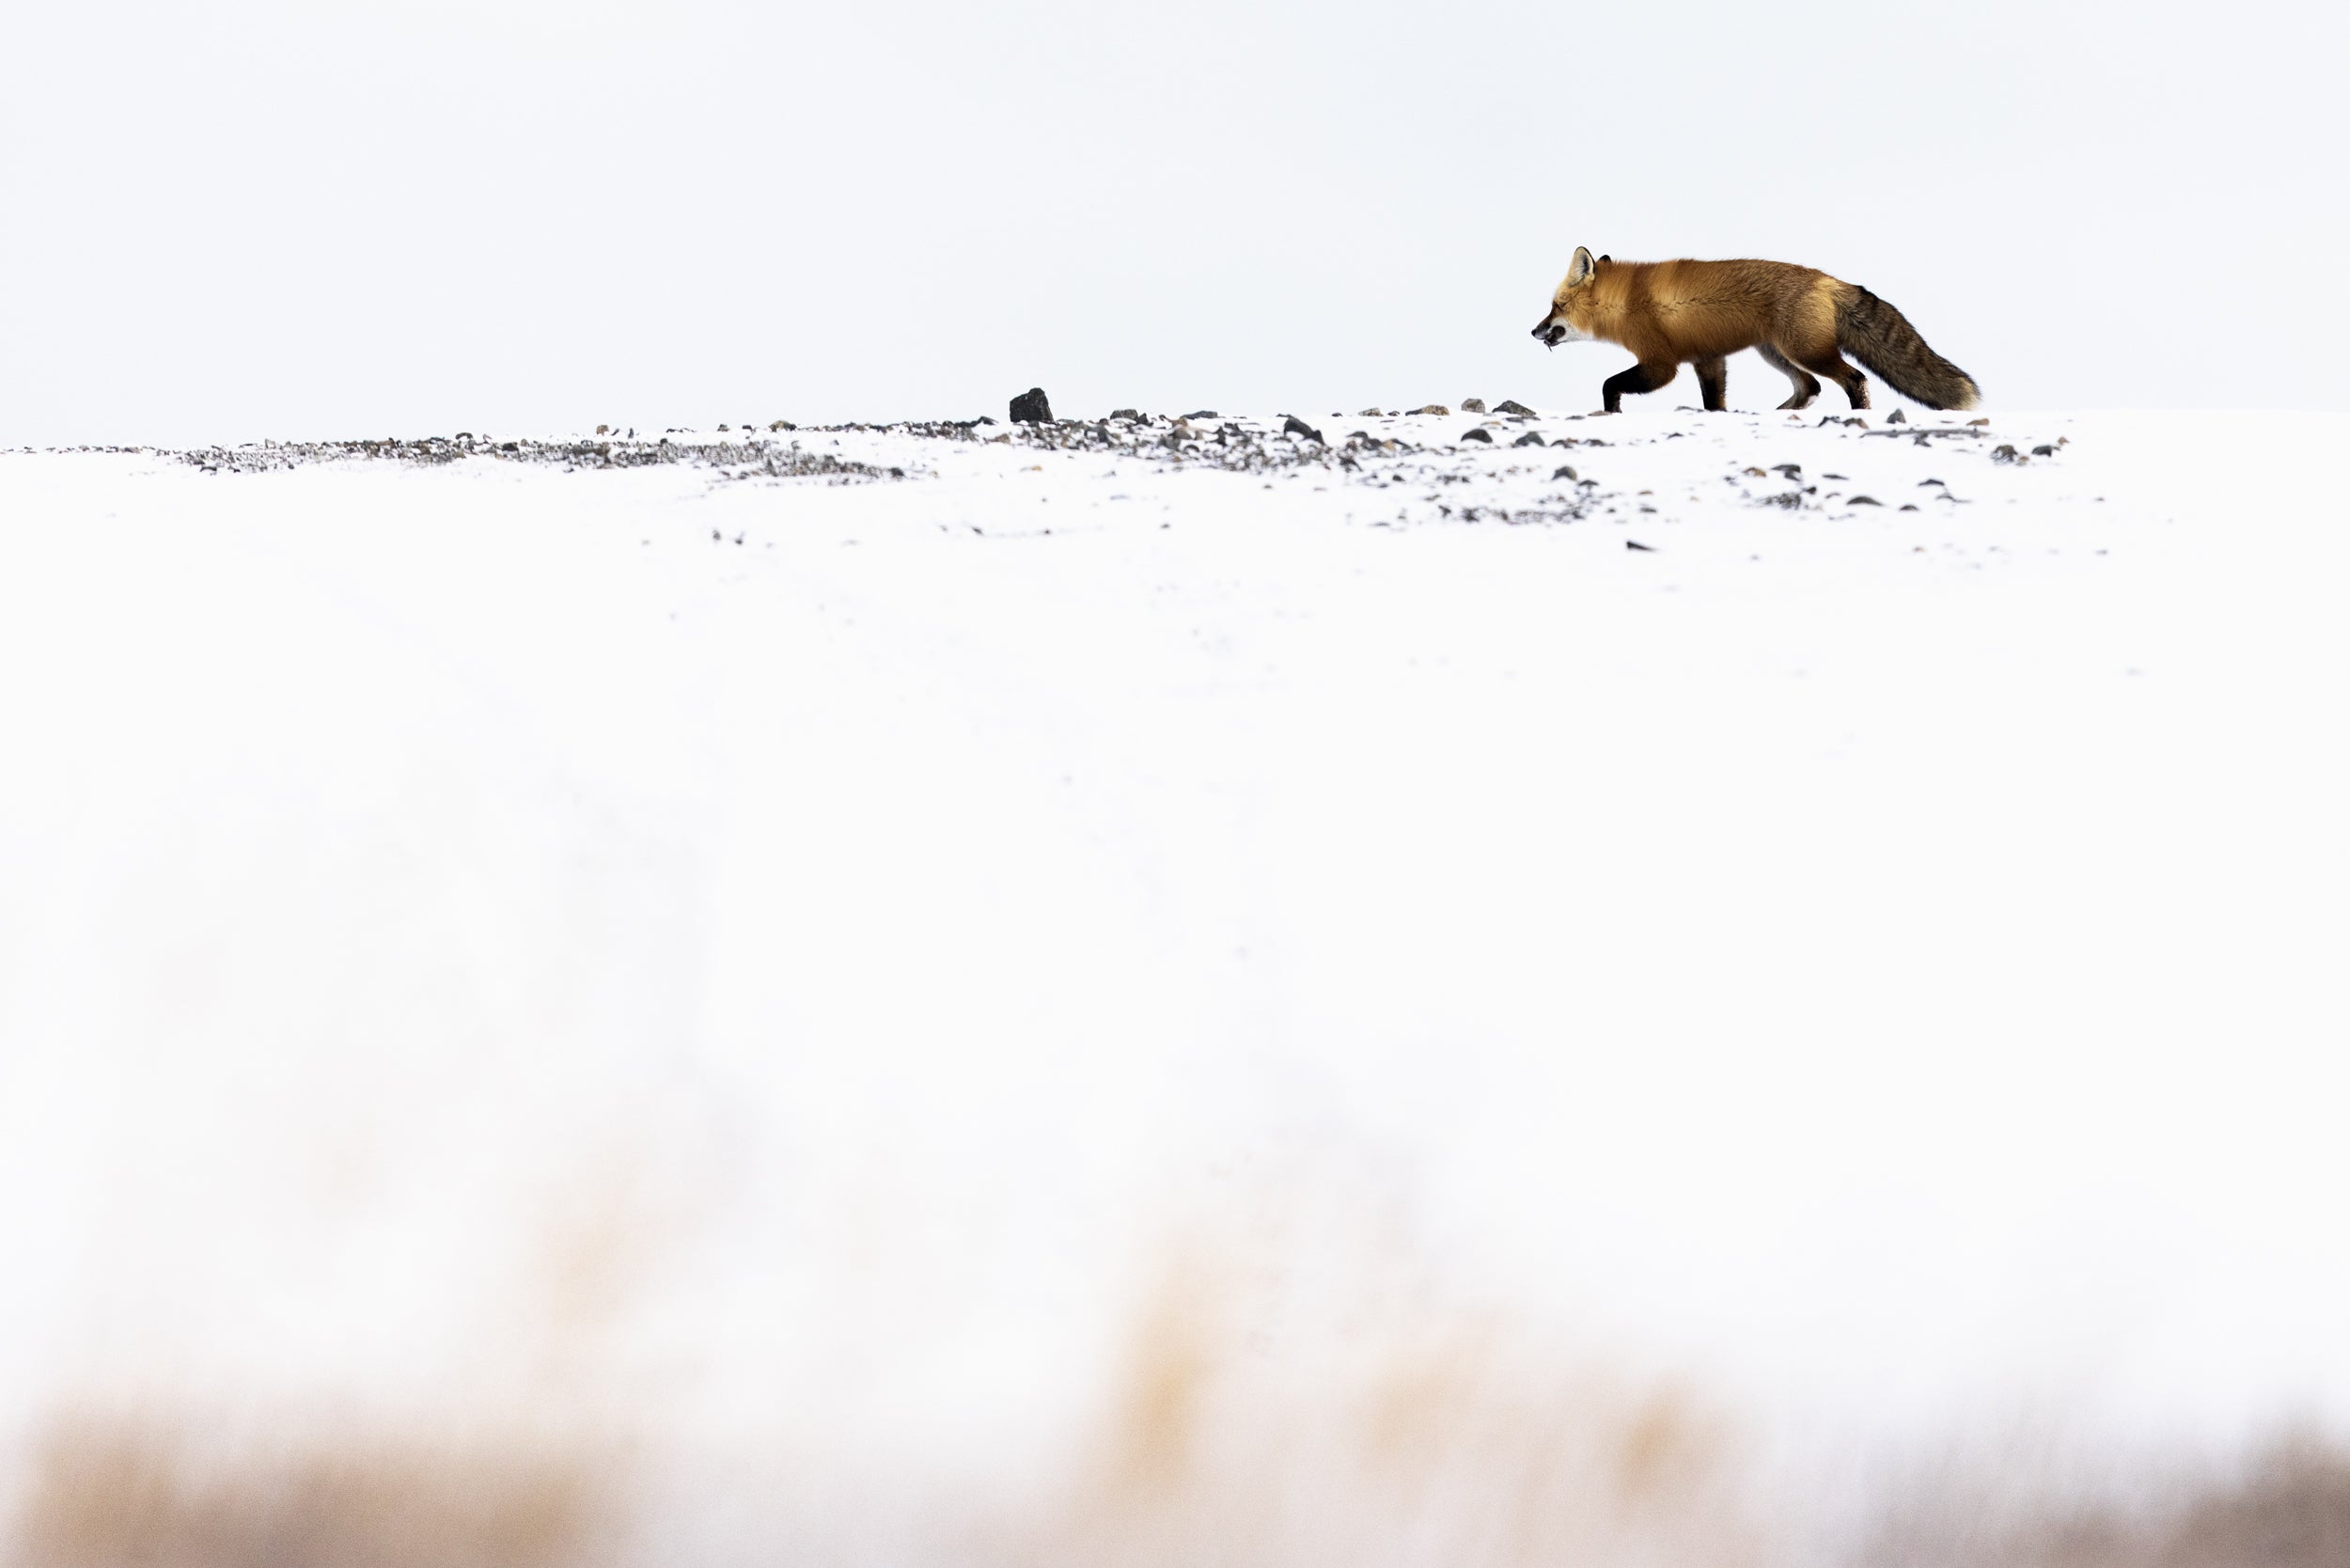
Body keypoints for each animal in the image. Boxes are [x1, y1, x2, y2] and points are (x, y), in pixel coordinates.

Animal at [1530, 247, 1978, 414]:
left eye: (1556, 307)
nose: (1534, 331)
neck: (1627, 301)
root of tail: (1827, 279)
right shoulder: (1708, 359)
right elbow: (1714, 404)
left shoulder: (1661, 364)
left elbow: (1610, 384)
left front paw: (1612, 412)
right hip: (1775, 353)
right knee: (1810, 387)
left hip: (1805, 351)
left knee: (1854, 379)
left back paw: (1858, 415)